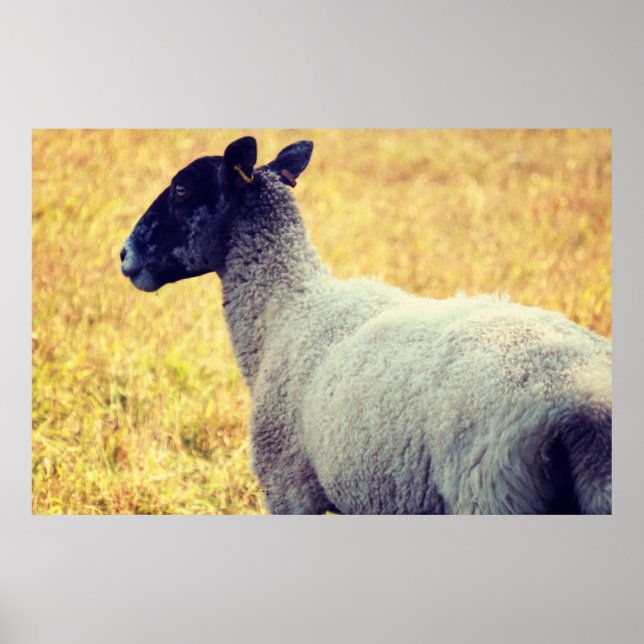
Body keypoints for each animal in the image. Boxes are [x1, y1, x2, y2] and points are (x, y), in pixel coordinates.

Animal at [120, 136, 612, 515]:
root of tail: (584, 411)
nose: (123, 254)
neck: (282, 308)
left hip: (492, 491)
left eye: (181, 189)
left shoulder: (289, 488)